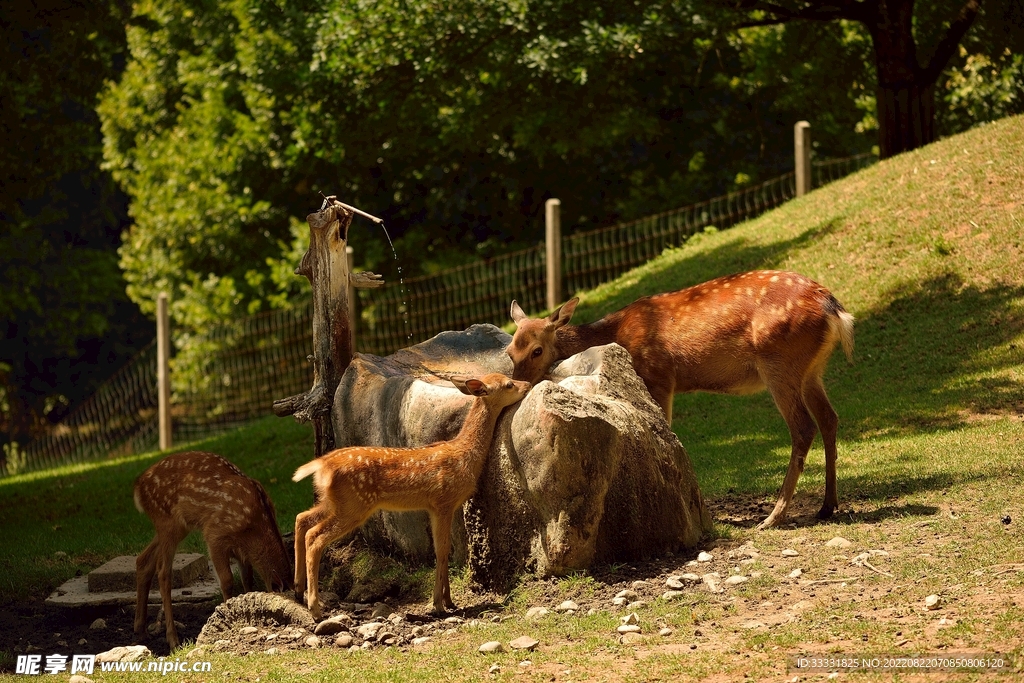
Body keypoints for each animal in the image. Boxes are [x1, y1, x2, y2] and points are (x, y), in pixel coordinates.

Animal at [133, 451, 292, 650]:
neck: (253, 527)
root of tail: (138, 486)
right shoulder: (215, 534)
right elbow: (227, 580)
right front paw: (228, 614)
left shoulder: (242, 553)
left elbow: (247, 580)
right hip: (167, 520)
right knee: (163, 572)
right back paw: (173, 639)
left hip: (176, 526)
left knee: (143, 560)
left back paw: (140, 631)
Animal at [292, 373, 530, 619]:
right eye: (509, 384)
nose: (528, 384)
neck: (465, 454)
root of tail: (322, 465)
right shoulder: (443, 501)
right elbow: (442, 551)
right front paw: (438, 604)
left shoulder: (436, 507)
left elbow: (443, 551)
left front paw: (449, 601)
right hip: (354, 504)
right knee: (315, 537)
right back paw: (315, 608)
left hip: (333, 500)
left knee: (302, 519)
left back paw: (298, 590)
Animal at [507, 270, 854, 530]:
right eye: (510, 351)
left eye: (537, 350)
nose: (520, 383)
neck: (618, 334)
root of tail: (835, 309)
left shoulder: (660, 374)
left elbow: (665, 426)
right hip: (812, 370)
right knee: (830, 418)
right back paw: (827, 506)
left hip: (778, 361)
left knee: (803, 427)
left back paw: (772, 517)